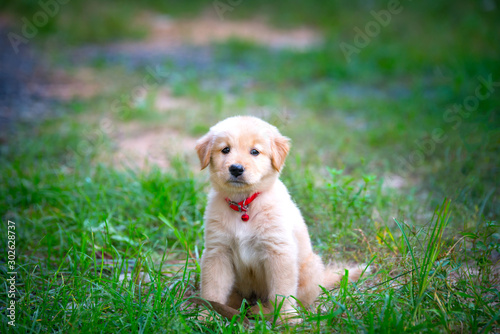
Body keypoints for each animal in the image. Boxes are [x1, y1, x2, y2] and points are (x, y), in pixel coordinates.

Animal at [193, 117, 362, 320]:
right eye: (225, 149)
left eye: (255, 151)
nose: (236, 169)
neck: (244, 205)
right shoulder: (218, 252)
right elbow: (213, 288)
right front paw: (206, 315)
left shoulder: (279, 252)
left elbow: (282, 292)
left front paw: (287, 318)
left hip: (311, 267)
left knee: (296, 300)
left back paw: (261, 311)